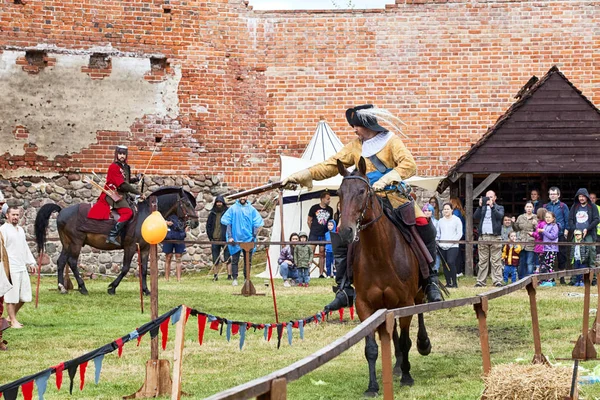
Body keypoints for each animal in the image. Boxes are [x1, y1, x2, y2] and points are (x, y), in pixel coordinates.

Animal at [34, 186, 199, 296]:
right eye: (187, 204)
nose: (196, 222)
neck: (146, 216)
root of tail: (62, 210)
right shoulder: (130, 247)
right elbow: (125, 268)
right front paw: (112, 287)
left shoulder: (145, 249)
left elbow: (144, 270)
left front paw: (146, 290)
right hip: (76, 243)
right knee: (73, 262)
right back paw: (82, 288)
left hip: (67, 243)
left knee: (61, 261)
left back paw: (62, 287)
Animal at [338, 157, 432, 396]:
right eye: (340, 193)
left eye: (362, 191)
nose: (345, 231)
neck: (379, 255)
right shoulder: (365, 306)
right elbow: (372, 348)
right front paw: (372, 386)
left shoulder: (406, 302)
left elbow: (406, 340)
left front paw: (407, 377)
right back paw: (396, 365)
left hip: (417, 295)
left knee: (420, 313)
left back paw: (422, 345)